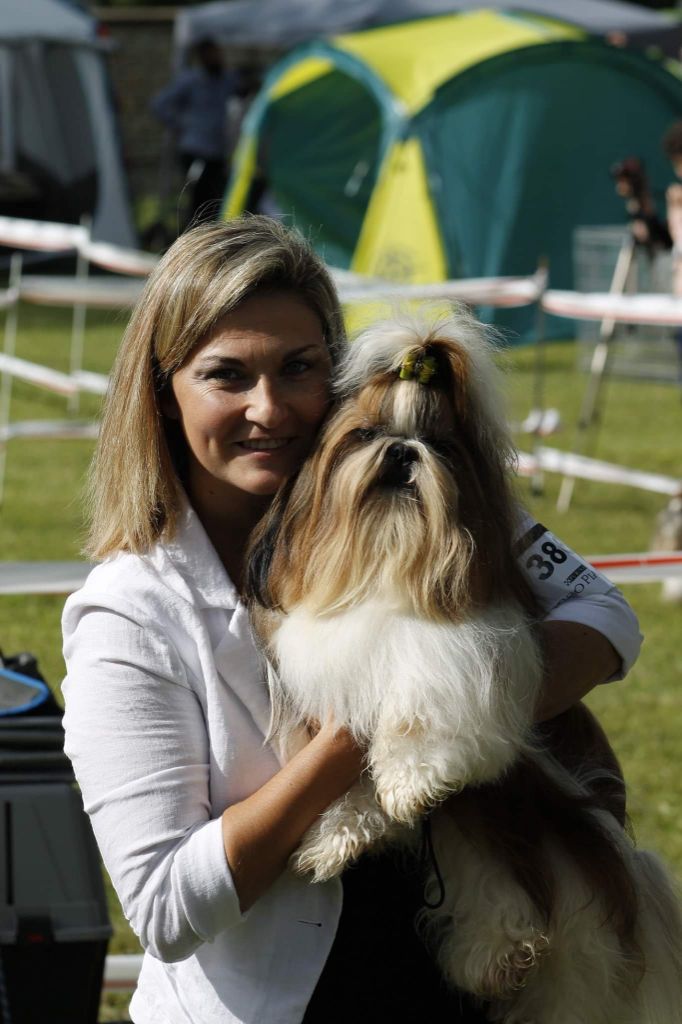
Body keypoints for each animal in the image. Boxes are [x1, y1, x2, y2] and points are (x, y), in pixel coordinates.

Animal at [245, 311, 679, 1024]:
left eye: (439, 445)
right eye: (366, 435)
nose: (402, 452)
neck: (388, 570)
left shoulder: (466, 659)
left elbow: (422, 718)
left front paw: (407, 782)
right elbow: (342, 777)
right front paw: (336, 835)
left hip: (543, 824)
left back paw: (504, 952)